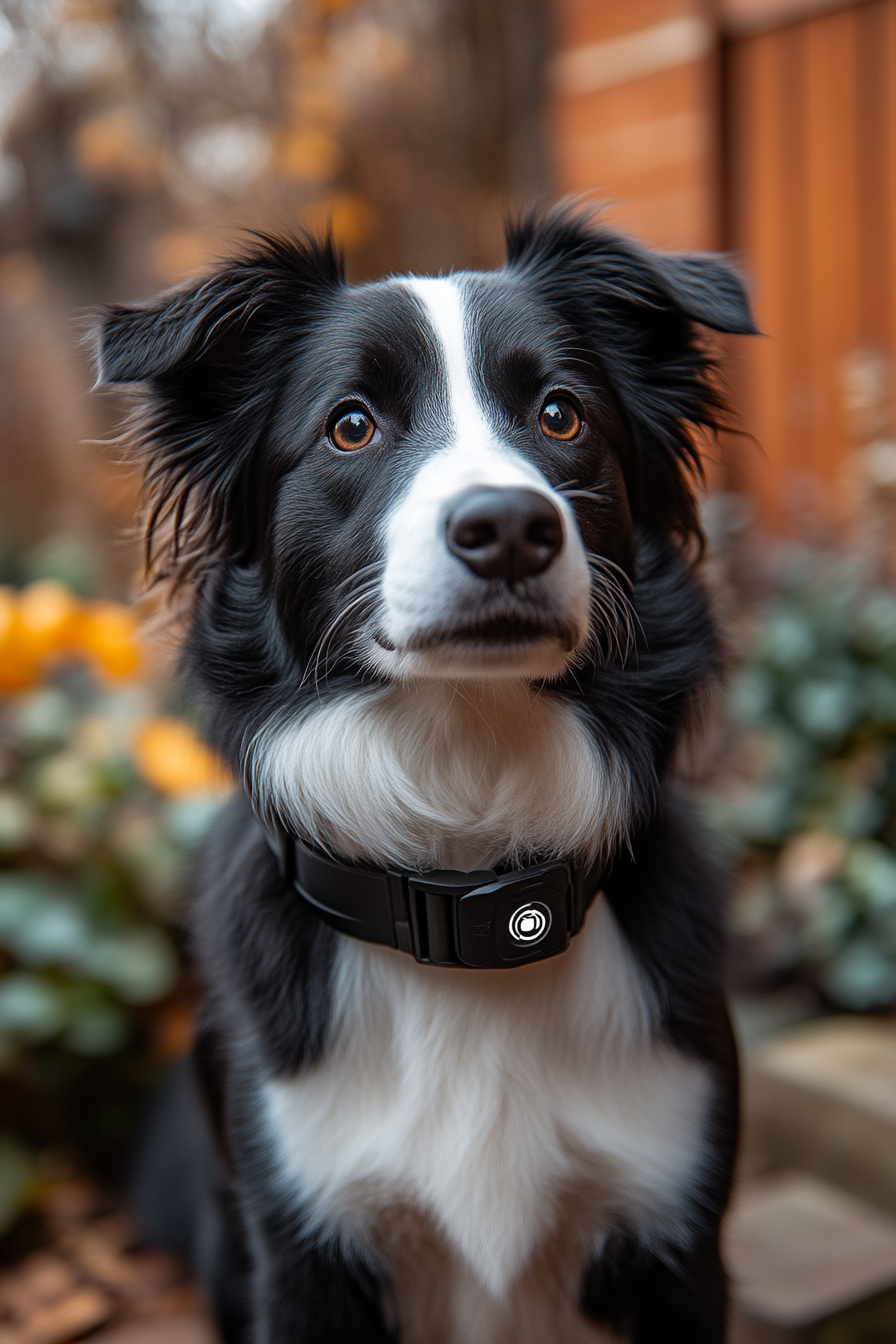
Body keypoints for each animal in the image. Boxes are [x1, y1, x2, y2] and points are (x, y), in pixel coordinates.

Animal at [96, 209, 757, 1344]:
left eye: (560, 414)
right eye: (351, 426)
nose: (508, 528)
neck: (461, 883)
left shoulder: (679, 1241)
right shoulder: (302, 1252)